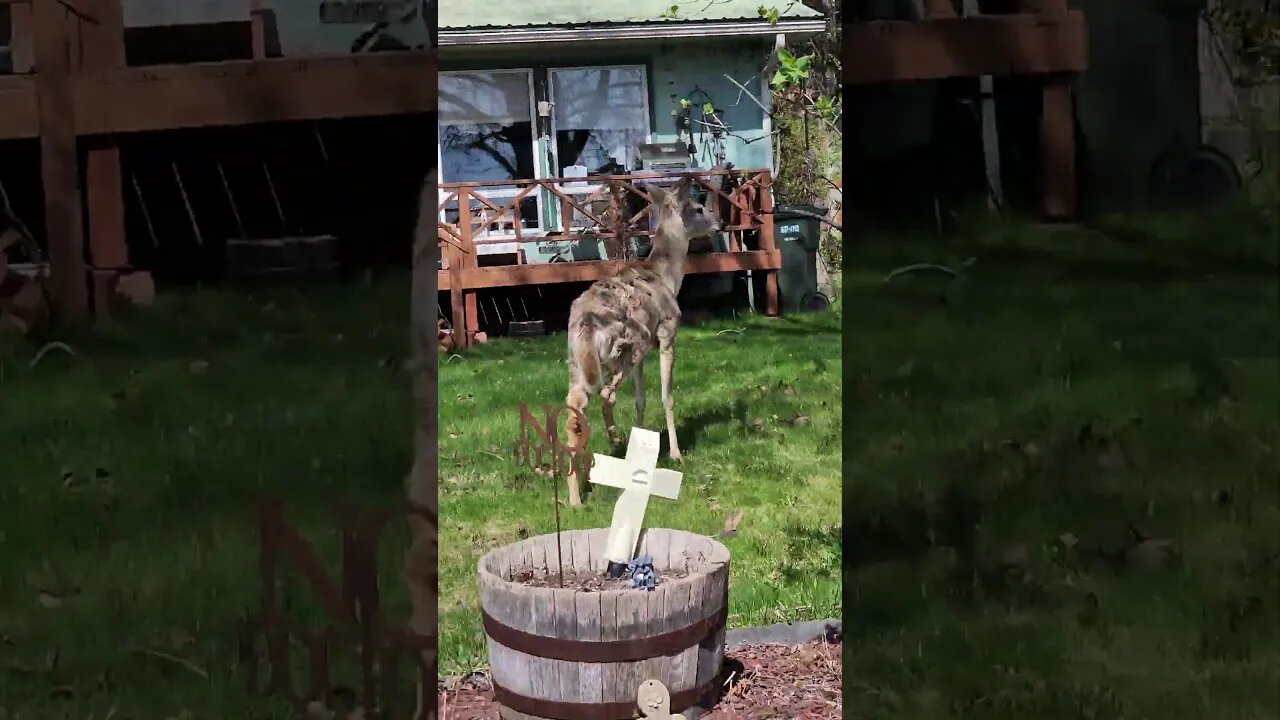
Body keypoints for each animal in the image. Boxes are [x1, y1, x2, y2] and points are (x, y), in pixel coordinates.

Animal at [562, 178, 719, 506]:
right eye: (699, 208)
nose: (719, 223)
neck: (667, 276)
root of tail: (586, 321)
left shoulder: (644, 356)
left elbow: (640, 399)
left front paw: (644, 443)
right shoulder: (666, 333)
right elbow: (666, 396)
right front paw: (675, 453)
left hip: (577, 360)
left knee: (575, 408)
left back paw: (576, 495)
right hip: (630, 343)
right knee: (606, 395)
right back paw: (612, 442)